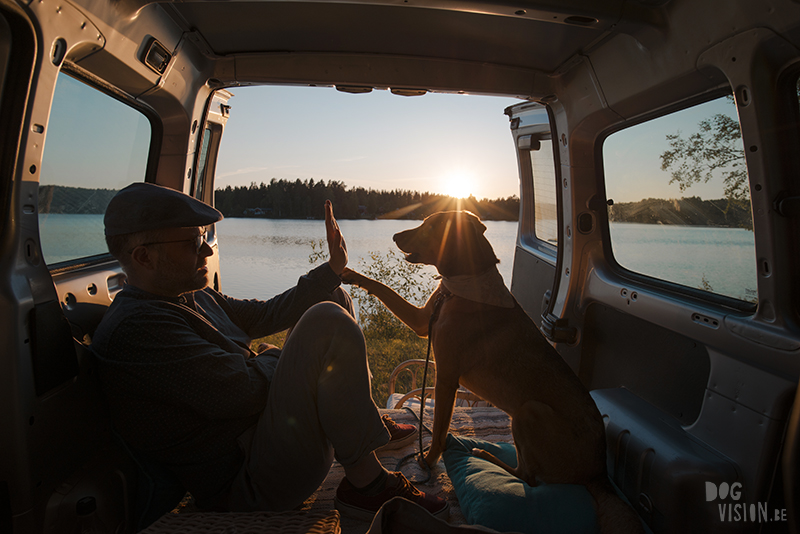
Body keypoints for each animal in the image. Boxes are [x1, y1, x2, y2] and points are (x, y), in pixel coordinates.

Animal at [340, 211, 640, 532]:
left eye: (431, 226)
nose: (395, 236)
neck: (461, 285)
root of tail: (599, 473)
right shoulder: (422, 321)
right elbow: (383, 288)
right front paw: (349, 273)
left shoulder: (446, 378)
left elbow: (439, 431)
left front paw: (428, 461)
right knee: (527, 472)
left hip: (528, 411)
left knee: (530, 478)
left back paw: (484, 455)